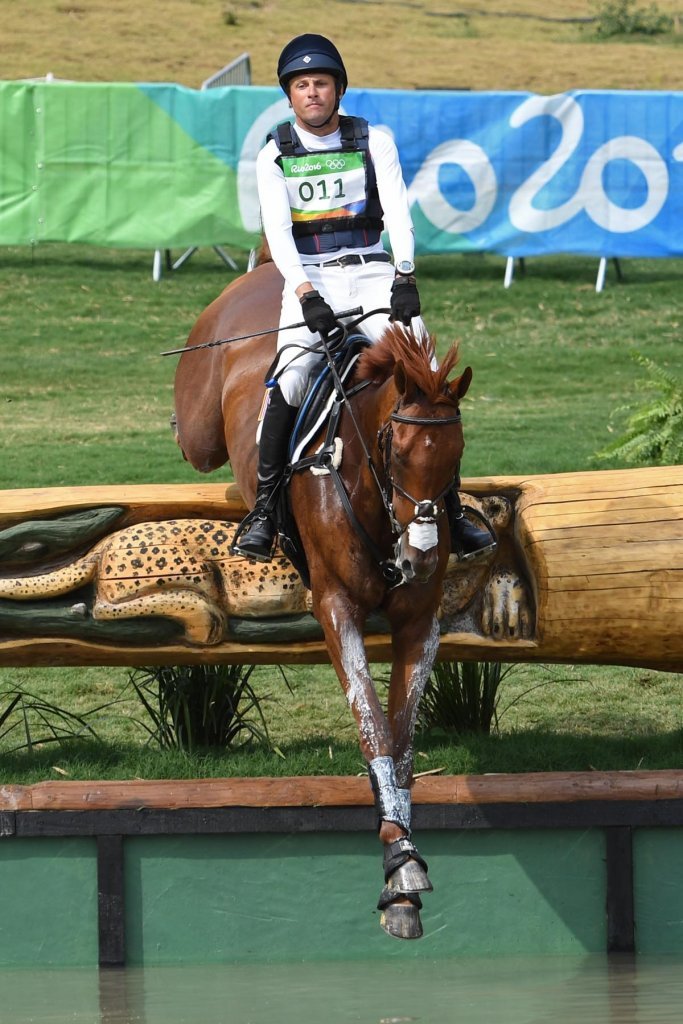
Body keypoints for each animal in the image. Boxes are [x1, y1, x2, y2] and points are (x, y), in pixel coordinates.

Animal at [173, 259, 472, 940]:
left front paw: (402, 864)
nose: (418, 558)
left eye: (457, 455)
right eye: (394, 449)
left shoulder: (420, 622)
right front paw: (400, 866)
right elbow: (372, 728)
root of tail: (261, 272)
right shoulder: (336, 610)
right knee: (193, 438)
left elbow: (400, 740)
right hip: (203, 425)